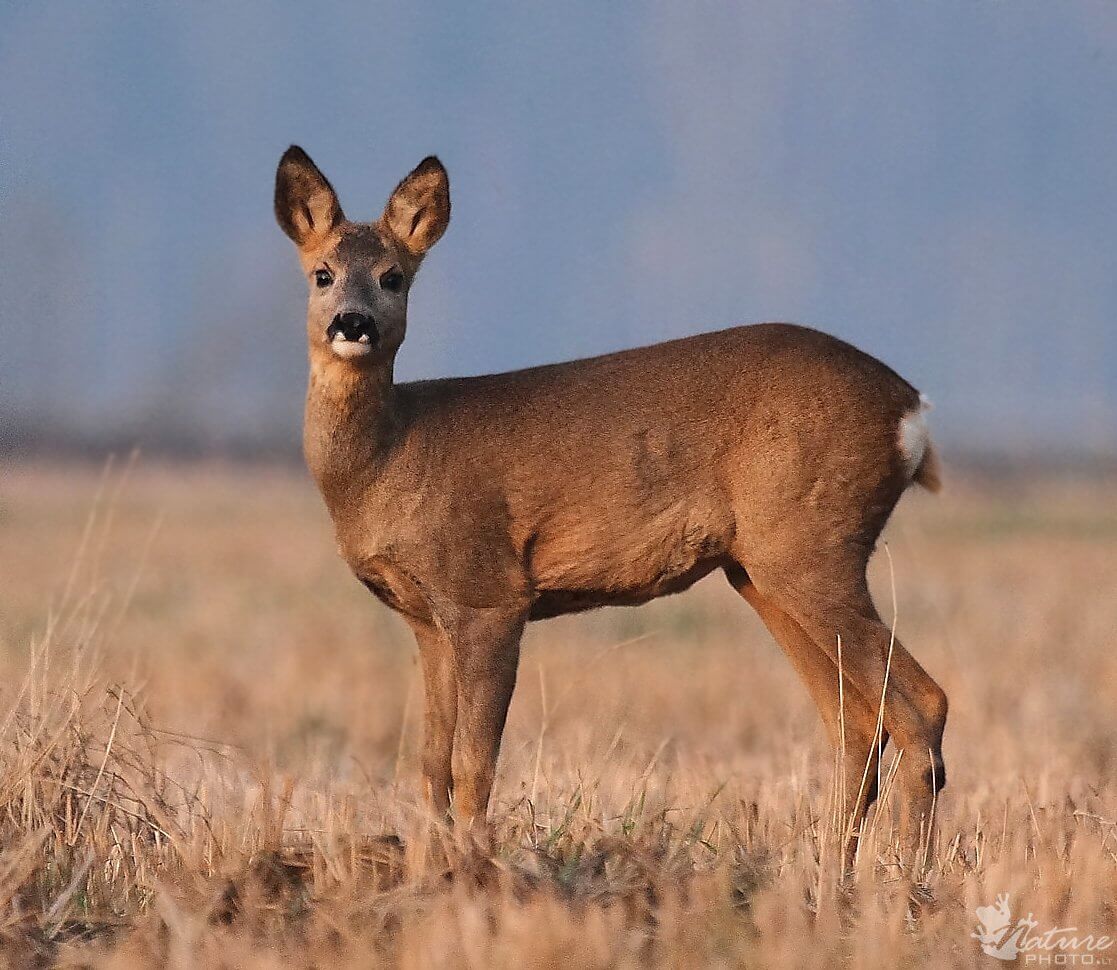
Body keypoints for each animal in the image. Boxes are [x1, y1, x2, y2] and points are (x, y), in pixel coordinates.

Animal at [274, 144, 947, 862]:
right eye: (322, 274)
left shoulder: (488, 593)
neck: (391, 455)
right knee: (855, 722)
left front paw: (475, 869)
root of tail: (911, 411)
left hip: (811, 546)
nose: (353, 323)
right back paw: (828, 878)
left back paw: (903, 878)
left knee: (920, 704)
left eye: (393, 277)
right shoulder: (426, 619)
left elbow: (473, 762)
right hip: (761, 569)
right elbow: (431, 763)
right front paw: (428, 871)